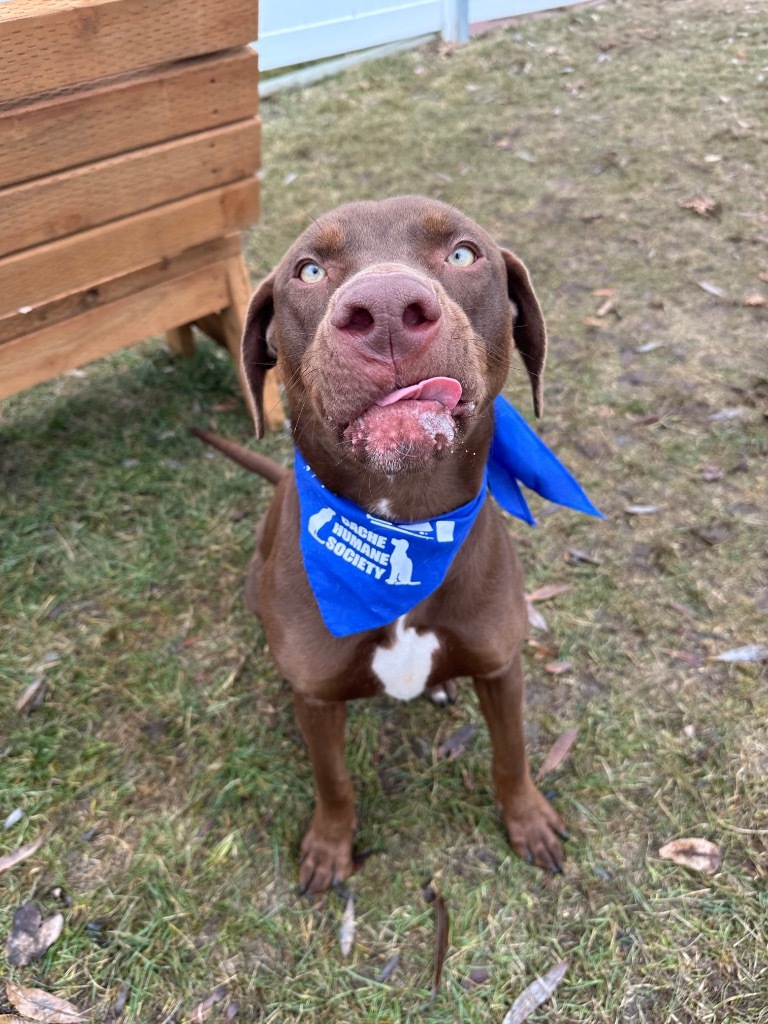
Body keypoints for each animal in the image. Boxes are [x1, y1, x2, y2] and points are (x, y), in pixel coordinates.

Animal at [201, 195, 569, 892]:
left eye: (462, 253)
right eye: (309, 270)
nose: (389, 311)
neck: (404, 525)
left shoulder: (500, 665)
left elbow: (511, 753)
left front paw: (529, 819)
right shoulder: (318, 698)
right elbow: (334, 781)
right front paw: (329, 846)